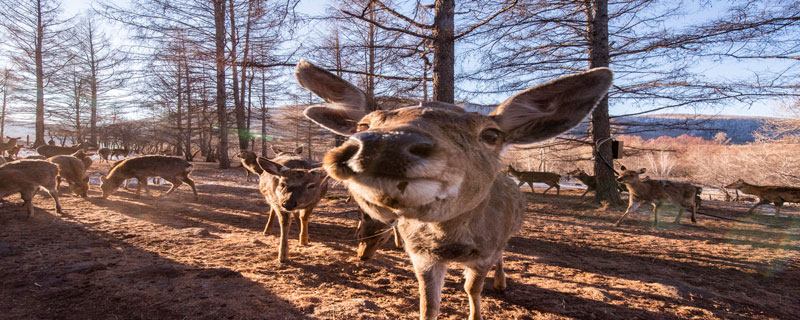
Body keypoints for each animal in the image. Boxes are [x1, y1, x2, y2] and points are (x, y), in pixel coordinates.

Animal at [294, 59, 612, 318]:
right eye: (363, 125)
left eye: (491, 134)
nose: (386, 144)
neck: (449, 242)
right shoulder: (420, 254)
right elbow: (428, 303)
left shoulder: (484, 251)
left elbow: (473, 289)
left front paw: (478, 308)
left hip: (504, 235)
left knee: (502, 256)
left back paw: (501, 283)